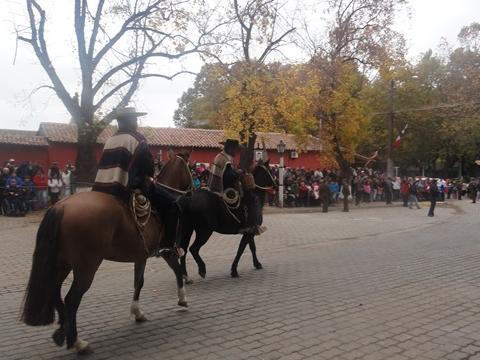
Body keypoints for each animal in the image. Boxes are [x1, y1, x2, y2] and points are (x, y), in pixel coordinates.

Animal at [20, 152, 193, 354]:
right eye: (188, 168)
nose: (191, 191)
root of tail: (60, 207)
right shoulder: (167, 251)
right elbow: (177, 271)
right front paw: (183, 298)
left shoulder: (140, 256)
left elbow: (139, 282)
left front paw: (137, 312)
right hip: (86, 268)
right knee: (71, 300)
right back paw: (78, 342)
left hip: (61, 263)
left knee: (55, 291)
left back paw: (62, 331)